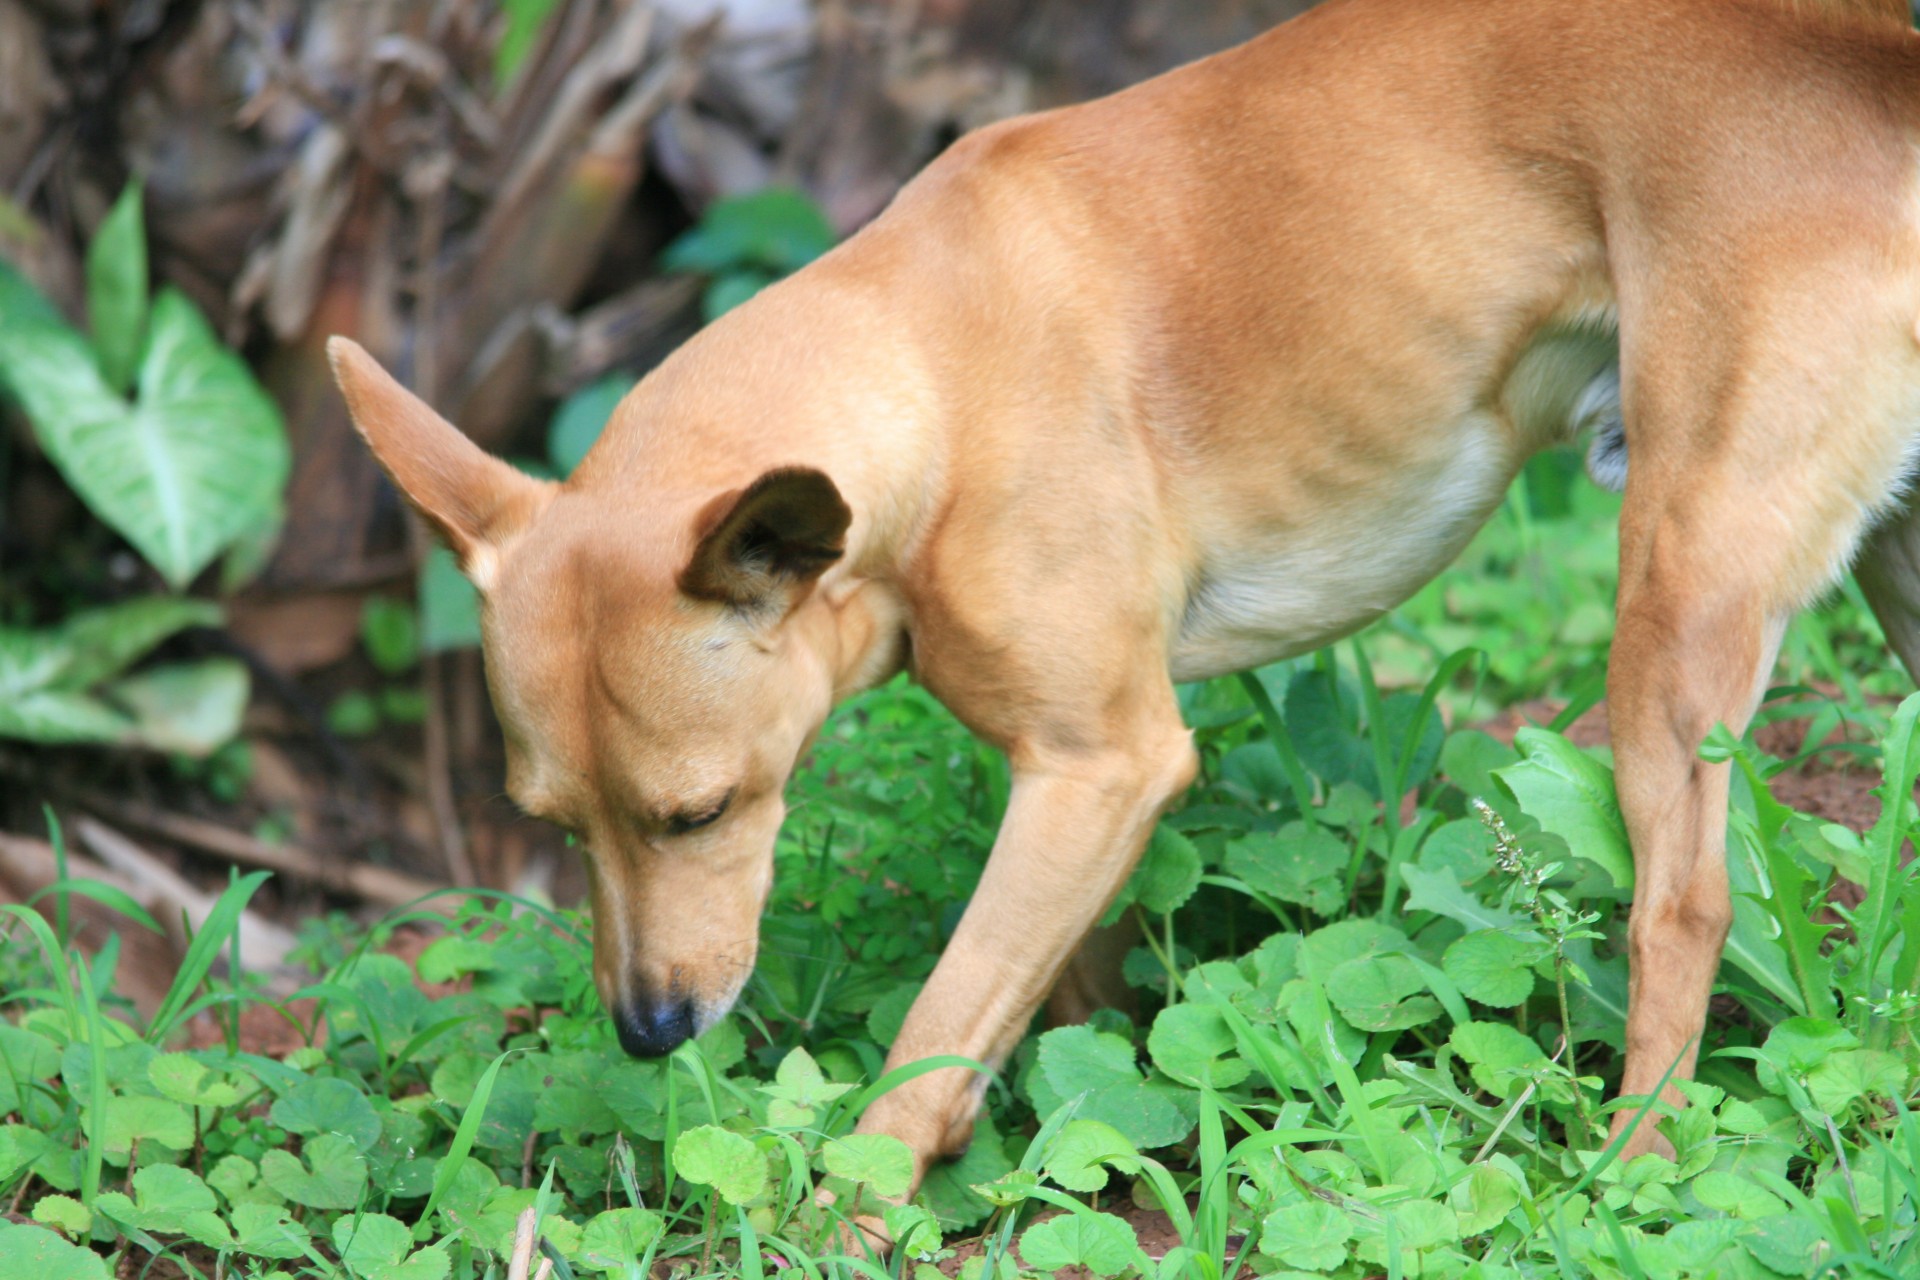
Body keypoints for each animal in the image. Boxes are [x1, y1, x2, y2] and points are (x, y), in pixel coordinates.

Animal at [337, 0, 1920, 1212]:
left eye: (700, 812)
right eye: (555, 827)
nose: (649, 1034)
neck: (928, 375)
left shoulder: (1107, 764)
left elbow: (932, 1035)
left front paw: (852, 1212)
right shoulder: (1070, 785)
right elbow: (1041, 996)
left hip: (1680, 620)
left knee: (1682, 914)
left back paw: (1632, 1166)